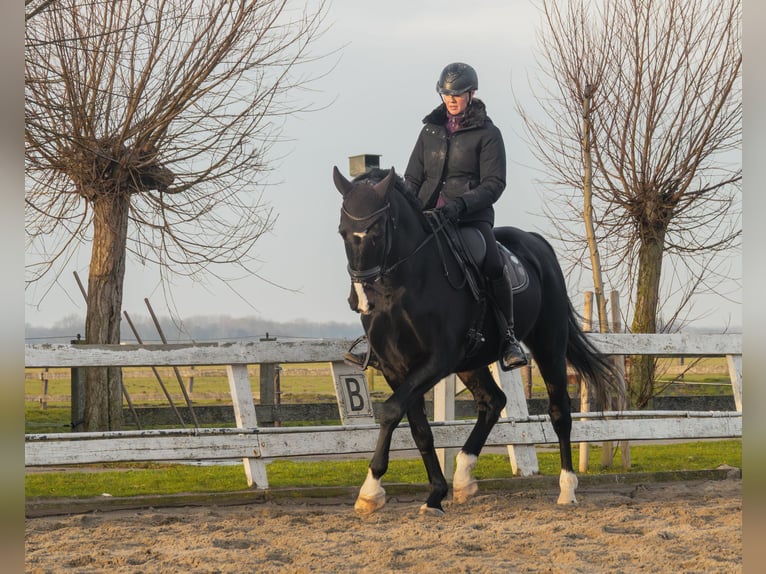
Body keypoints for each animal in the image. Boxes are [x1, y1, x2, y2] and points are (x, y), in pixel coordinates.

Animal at [333, 166, 620, 516]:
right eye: (343, 232)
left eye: (376, 231)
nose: (360, 300)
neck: (400, 288)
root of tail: (536, 243)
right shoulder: (395, 367)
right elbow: (418, 428)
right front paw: (434, 494)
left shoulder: (436, 362)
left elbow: (389, 412)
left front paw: (370, 490)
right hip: (471, 361)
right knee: (493, 401)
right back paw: (463, 477)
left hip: (548, 345)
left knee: (559, 412)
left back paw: (567, 489)